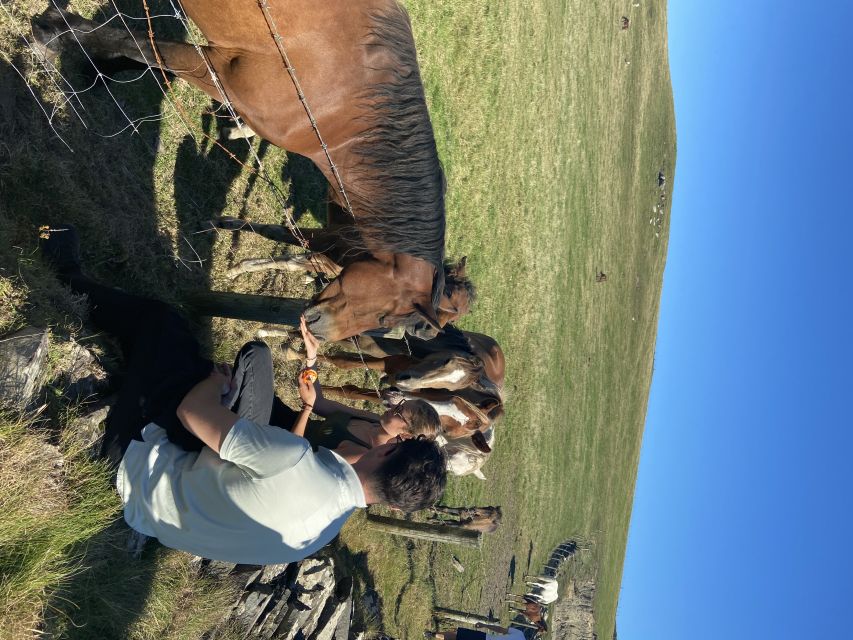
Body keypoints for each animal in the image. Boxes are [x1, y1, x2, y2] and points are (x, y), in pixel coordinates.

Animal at [31, 2, 446, 342]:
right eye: (385, 315)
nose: (319, 332)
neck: (342, 112)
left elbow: (141, 51)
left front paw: (96, 64)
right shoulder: (219, 70)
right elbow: (136, 44)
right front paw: (59, 34)